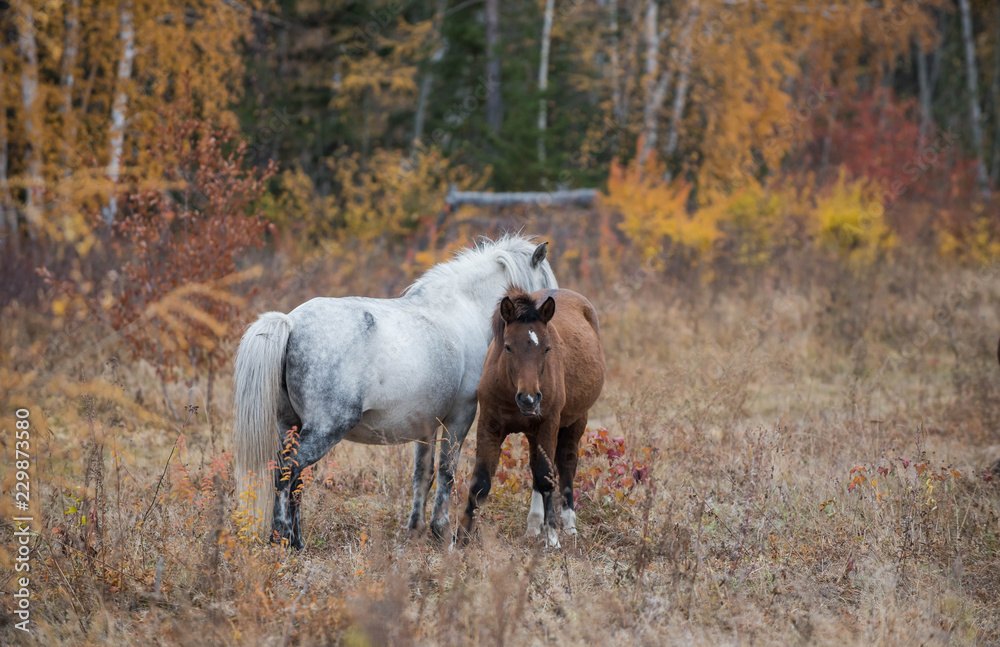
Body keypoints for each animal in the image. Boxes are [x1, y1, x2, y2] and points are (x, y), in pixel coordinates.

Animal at [233, 236, 558, 549]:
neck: (461, 310)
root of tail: (291, 323)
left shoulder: (426, 425)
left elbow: (422, 475)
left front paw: (415, 531)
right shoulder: (460, 416)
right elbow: (446, 472)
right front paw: (442, 534)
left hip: (290, 426)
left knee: (292, 475)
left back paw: (296, 542)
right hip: (325, 429)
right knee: (289, 470)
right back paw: (279, 540)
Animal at [458, 288, 605, 548]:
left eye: (547, 348)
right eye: (507, 347)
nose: (529, 399)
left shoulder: (549, 425)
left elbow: (547, 477)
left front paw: (553, 538)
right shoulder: (489, 426)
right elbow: (480, 482)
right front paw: (459, 541)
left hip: (576, 421)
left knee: (566, 464)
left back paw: (569, 526)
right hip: (534, 432)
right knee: (536, 466)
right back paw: (534, 525)